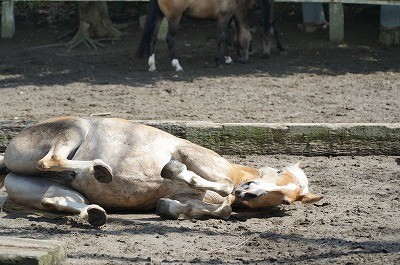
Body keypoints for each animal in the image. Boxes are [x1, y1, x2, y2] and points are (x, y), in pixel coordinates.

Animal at [0, 116, 324, 226]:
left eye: (286, 198)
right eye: (278, 172)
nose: (250, 192)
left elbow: (221, 208)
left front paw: (170, 208)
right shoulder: (191, 154)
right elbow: (219, 187)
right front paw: (173, 171)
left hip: (51, 190)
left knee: (53, 200)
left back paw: (93, 215)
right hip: (73, 129)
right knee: (50, 161)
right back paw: (100, 170)